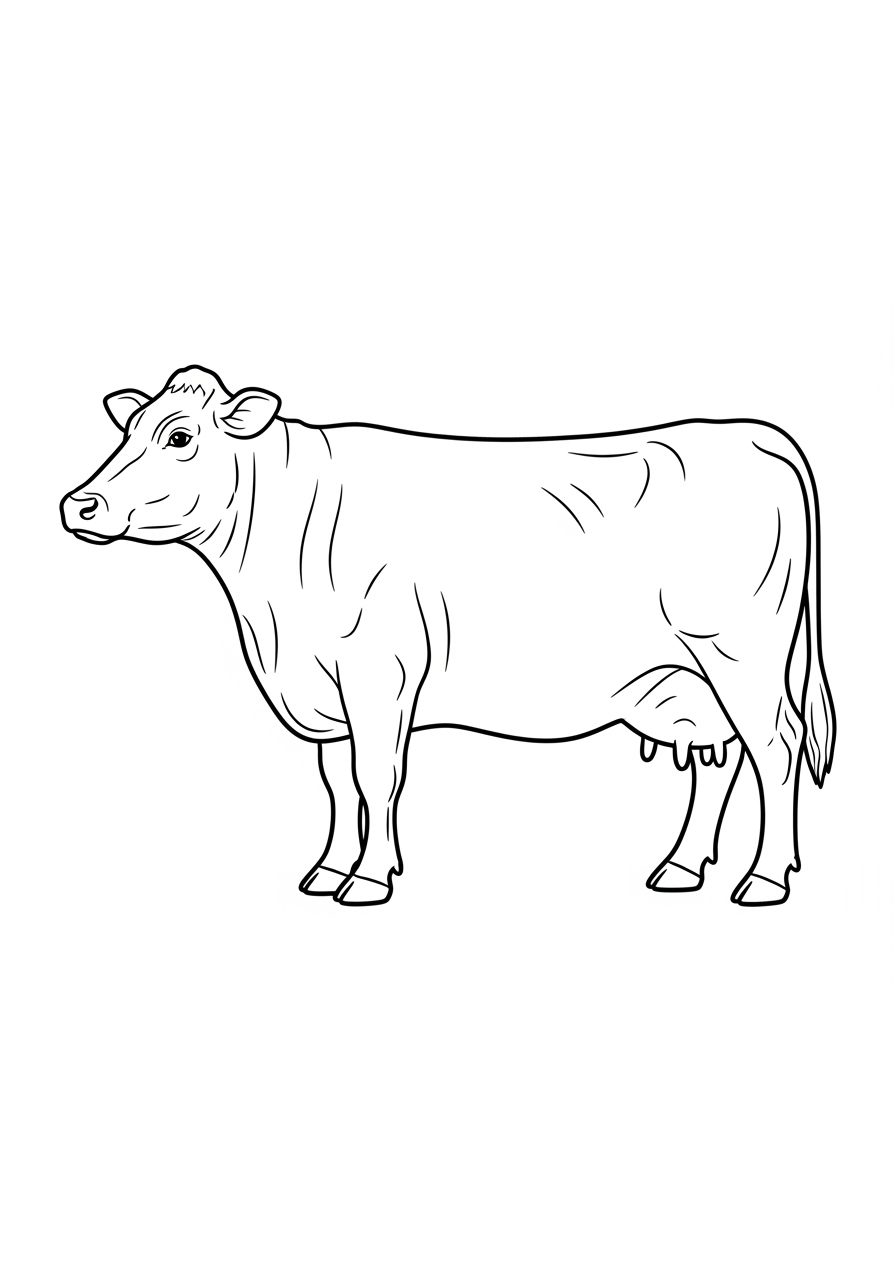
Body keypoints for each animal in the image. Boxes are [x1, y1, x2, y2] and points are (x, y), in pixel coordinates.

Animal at [60, 366, 835, 907]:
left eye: (180, 436)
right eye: (128, 431)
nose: (79, 503)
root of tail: (749, 431)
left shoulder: (379, 671)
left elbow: (377, 778)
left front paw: (369, 879)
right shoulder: (330, 694)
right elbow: (338, 784)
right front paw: (329, 869)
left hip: (739, 652)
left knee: (776, 747)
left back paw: (765, 879)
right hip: (687, 675)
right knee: (717, 757)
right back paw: (679, 867)